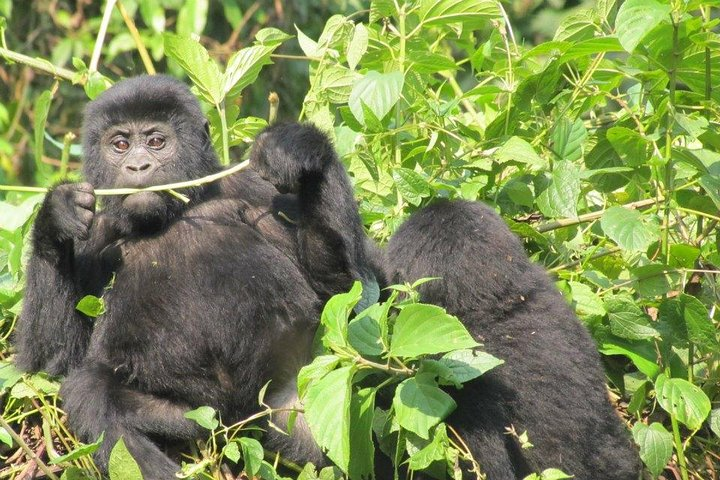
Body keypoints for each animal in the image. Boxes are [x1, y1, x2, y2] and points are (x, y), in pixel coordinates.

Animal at [14, 74, 382, 476]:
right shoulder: (94, 233)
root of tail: (235, 421)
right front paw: (56, 217)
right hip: (197, 413)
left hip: (285, 399)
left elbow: (343, 288)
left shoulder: (257, 188)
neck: (172, 213)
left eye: (156, 142)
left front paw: (301, 149)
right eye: (120, 144)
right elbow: (51, 364)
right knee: (91, 392)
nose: (138, 167)